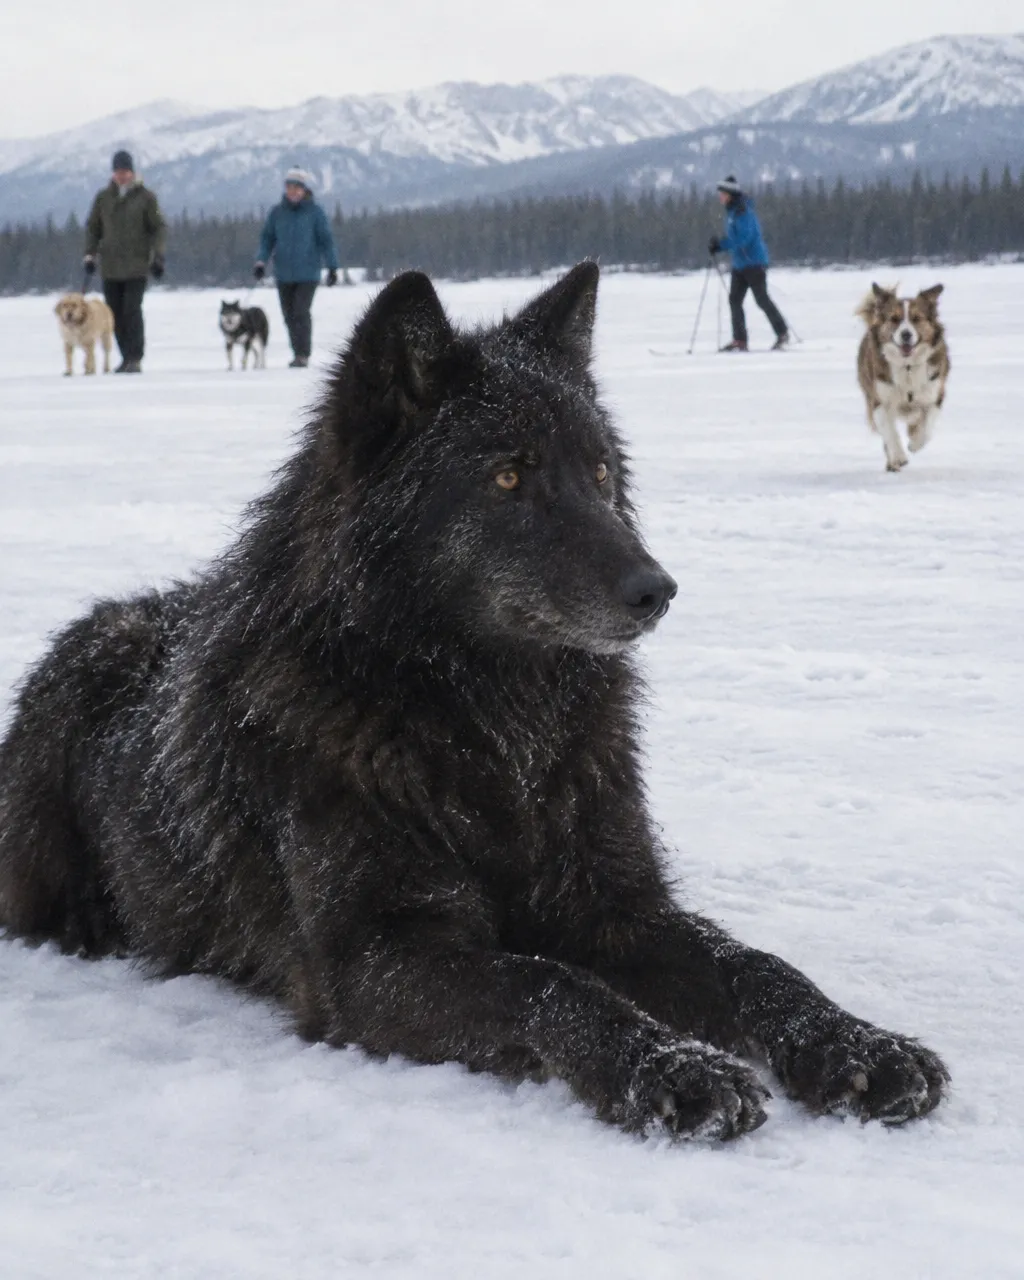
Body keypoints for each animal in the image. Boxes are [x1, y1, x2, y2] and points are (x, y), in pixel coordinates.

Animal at [856, 283, 950, 472]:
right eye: (894, 319)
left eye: (916, 318)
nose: (906, 334)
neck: (907, 366)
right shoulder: (879, 400)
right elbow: (890, 432)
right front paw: (899, 457)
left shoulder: (934, 394)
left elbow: (927, 427)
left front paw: (915, 443)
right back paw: (893, 463)